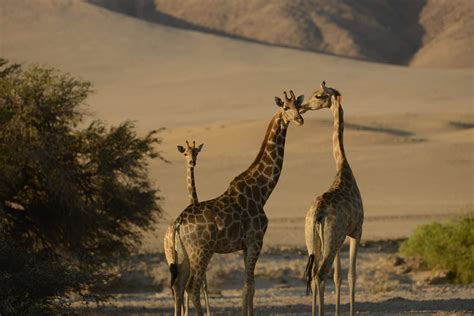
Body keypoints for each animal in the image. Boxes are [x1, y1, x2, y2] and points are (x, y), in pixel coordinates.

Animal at [167, 90, 306, 314]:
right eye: (285, 107)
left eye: (298, 106)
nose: (300, 119)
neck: (262, 191)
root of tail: (178, 223)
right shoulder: (256, 239)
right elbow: (249, 286)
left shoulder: (244, 245)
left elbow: (249, 287)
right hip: (201, 251)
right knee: (192, 287)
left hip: (184, 253)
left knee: (179, 286)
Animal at [302, 82, 364, 316]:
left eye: (318, 95)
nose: (302, 107)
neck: (343, 169)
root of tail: (318, 212)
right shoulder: (356, 230)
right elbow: (351, 276)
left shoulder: (340, 237)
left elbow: (338, 277)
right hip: (331, 238)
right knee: (320, 274)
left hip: (314, 240)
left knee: (314, 275)